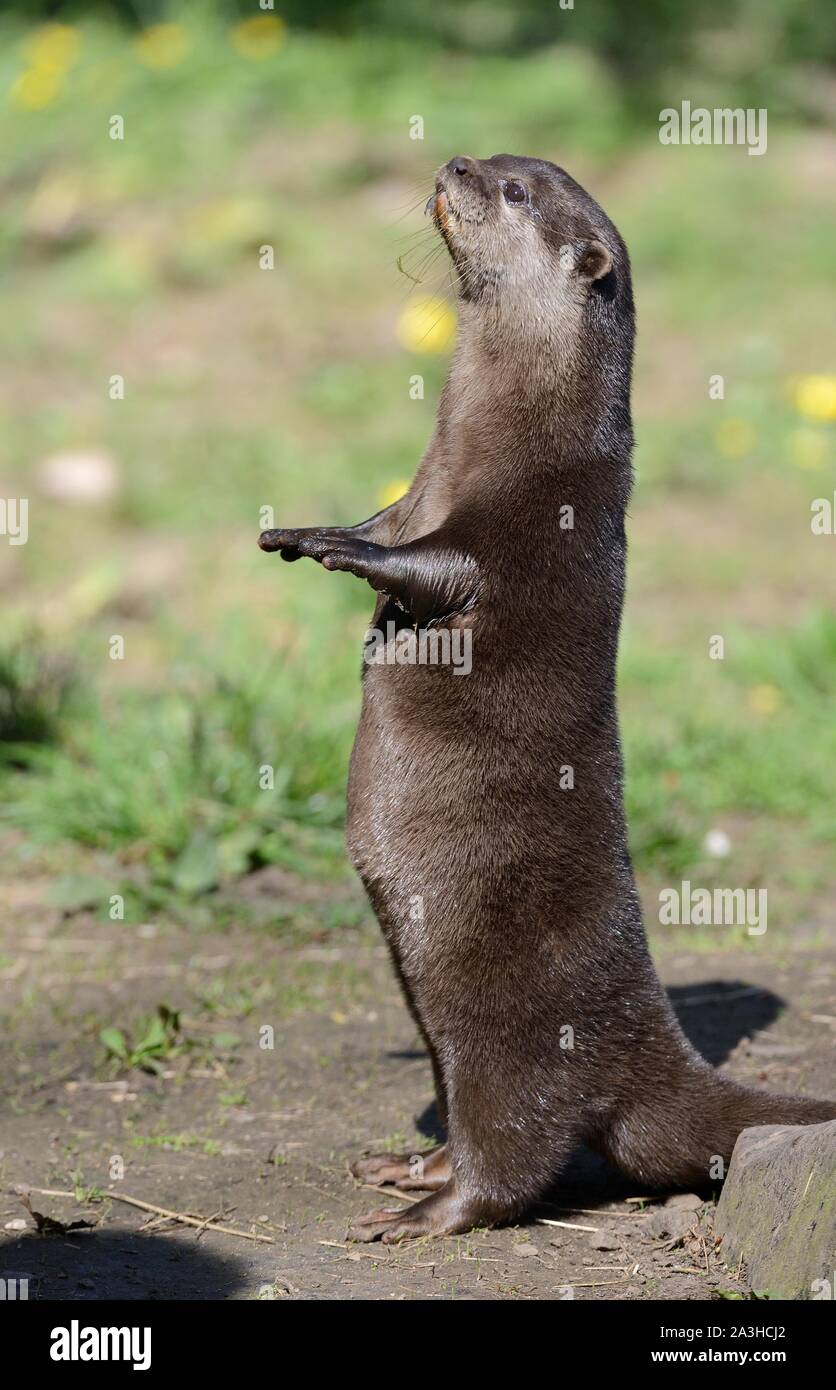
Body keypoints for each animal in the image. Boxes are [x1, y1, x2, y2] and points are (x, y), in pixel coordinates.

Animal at [259, 154, 836, 1243]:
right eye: (494, 163)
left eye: (517, 190)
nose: (452, 164)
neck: (506, 437)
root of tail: (652, 1051)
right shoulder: (415, 491)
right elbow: (386, 522)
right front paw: (310, 526)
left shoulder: (538, 521)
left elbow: (437, 570)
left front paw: (328, 547)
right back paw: (403, 1165)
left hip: (513, 1035)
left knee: (515, 1152)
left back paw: (425, 1215)